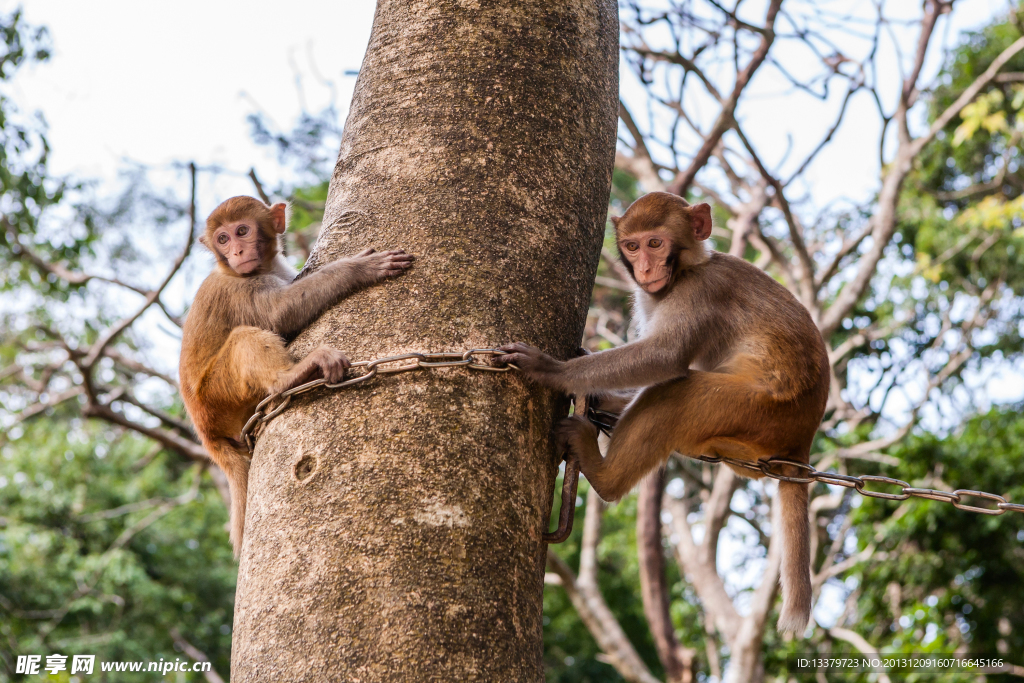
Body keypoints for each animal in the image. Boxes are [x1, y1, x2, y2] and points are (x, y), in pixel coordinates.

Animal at [181, 196, 415, 557]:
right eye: (223, 239)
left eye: (241, 231)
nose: (236, 251)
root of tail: (206, 433)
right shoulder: (240, 288)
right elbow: (280, 313)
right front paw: (358, 268)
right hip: (217, 394)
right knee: (245, 336)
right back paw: (291, 376)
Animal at [501, 189, 831, 634]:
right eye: (632, 245)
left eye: (656, 243)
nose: (644, 267)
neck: (687, 269)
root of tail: (802, 443)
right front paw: (599, 397)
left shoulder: (701, 292)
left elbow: (665, 356)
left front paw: (554, 371)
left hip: (762, 412)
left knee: (679, 394)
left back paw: (603, 474)